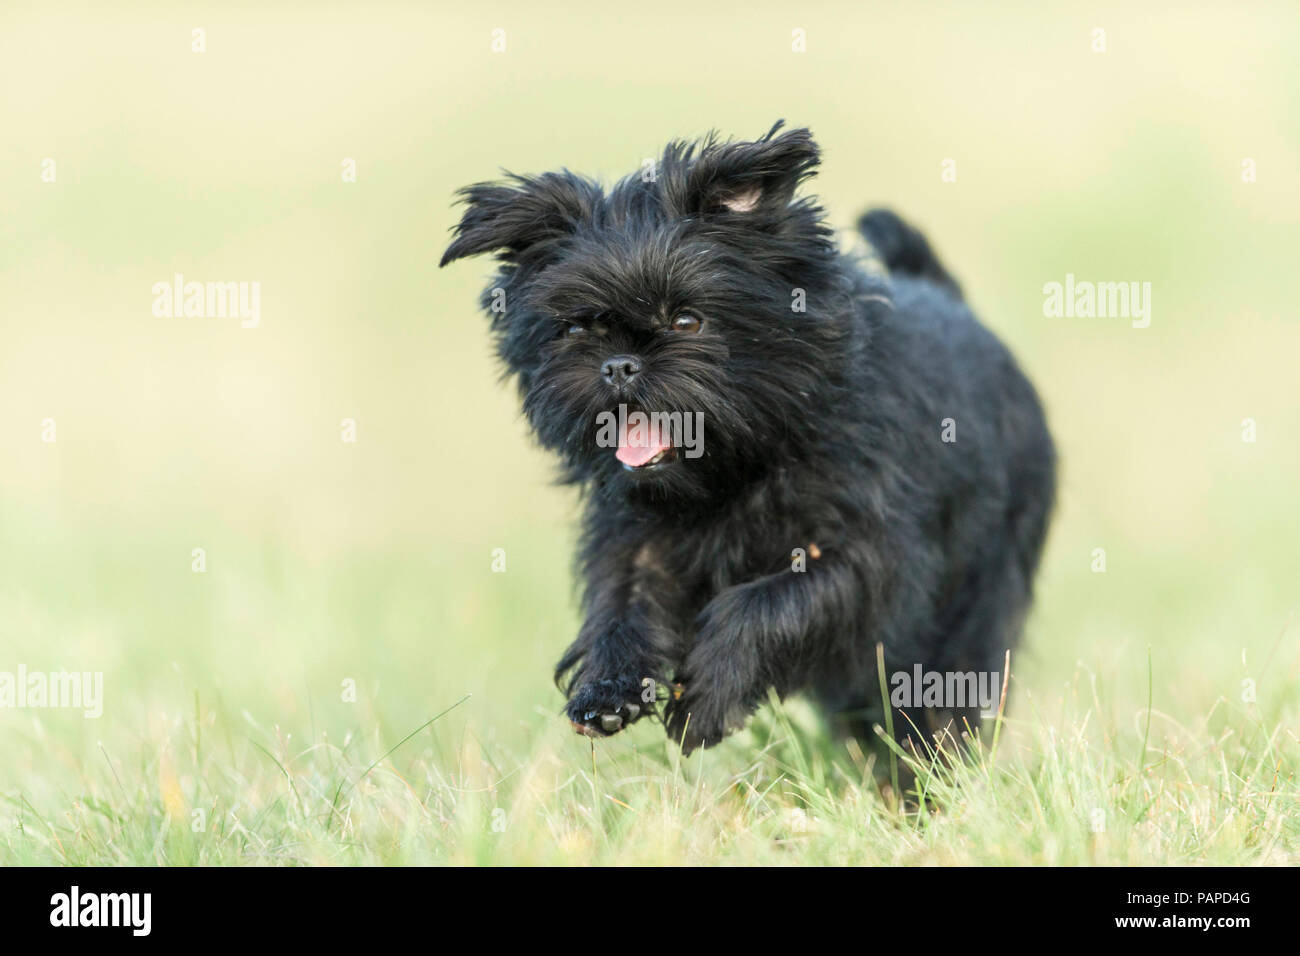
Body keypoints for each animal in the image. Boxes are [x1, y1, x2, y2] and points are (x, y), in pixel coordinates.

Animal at [441, 123, 1050, 759]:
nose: (618, 365)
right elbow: (622, 604)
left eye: (687, 321)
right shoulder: (635, 544)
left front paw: (706, 700)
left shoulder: (868, 557)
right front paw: (608, 688)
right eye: (578, 328)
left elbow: (763, 603)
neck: (736, 470)